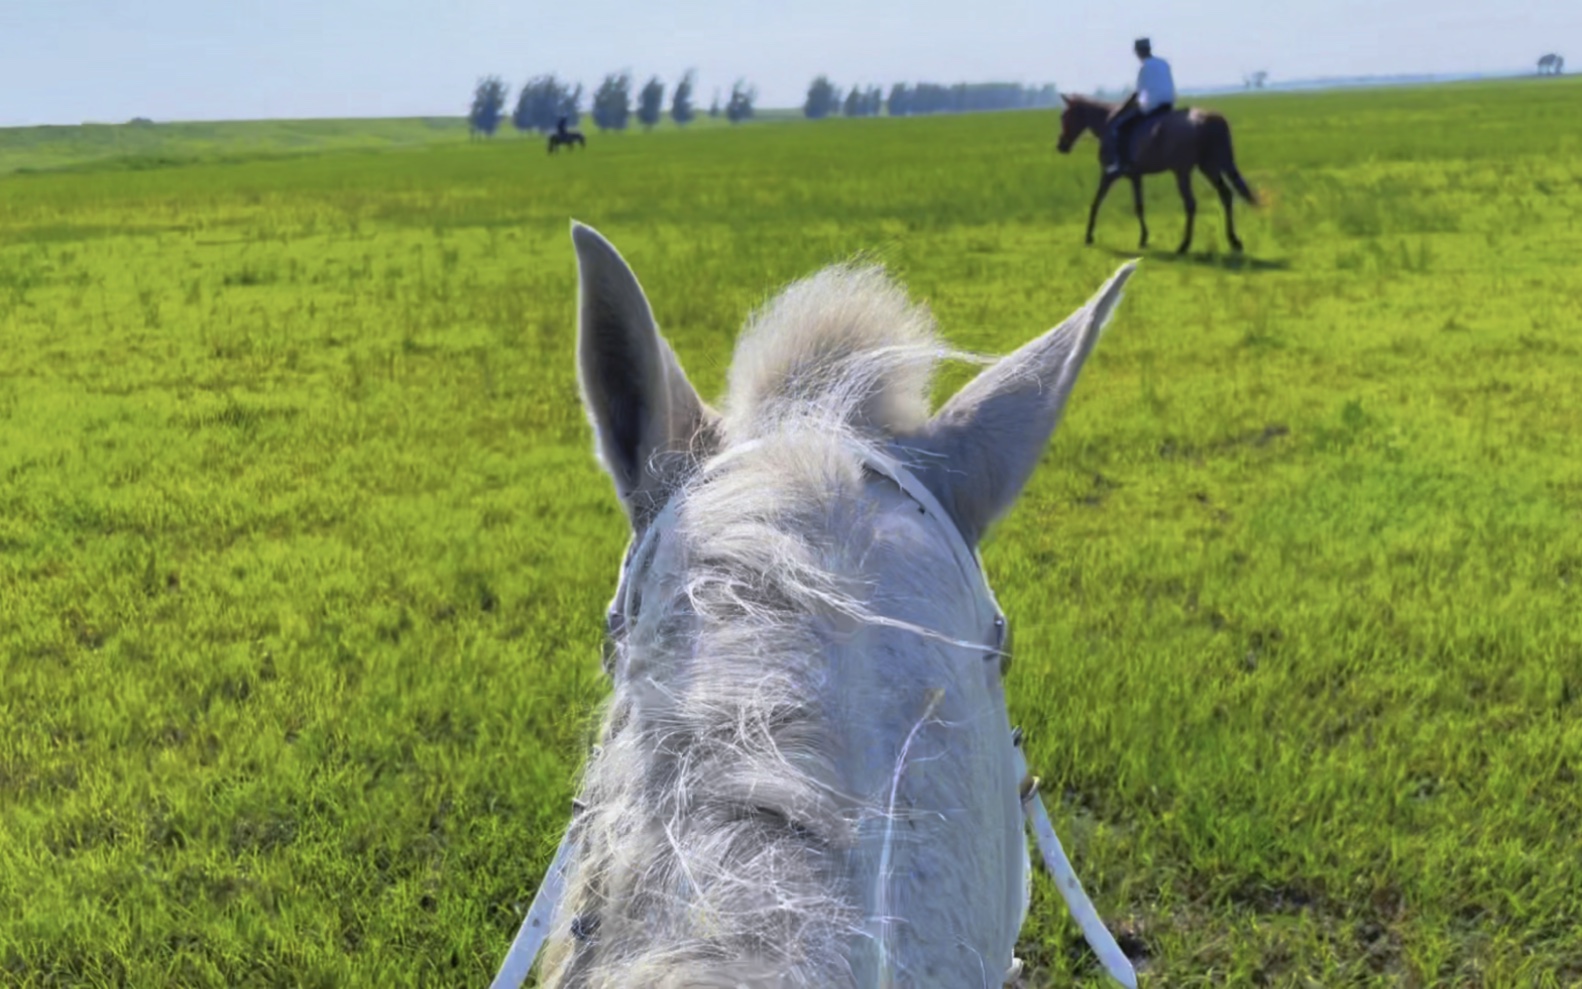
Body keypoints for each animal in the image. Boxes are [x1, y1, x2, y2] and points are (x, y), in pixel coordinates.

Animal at [1056, 94, 1252, 253]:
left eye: (1064, 116)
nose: (1061, 145)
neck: (1107, 123)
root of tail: (1208, 119)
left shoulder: (1109, 174)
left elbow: (1096, 201)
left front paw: (1089, 236)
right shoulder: (1135, 176)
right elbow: (1139, 206)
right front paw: (1143, 238)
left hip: (1183, 172)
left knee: (1191, 203)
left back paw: (1184, 245)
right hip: (1209, 167)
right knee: (1226, 195)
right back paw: (1234, 241)